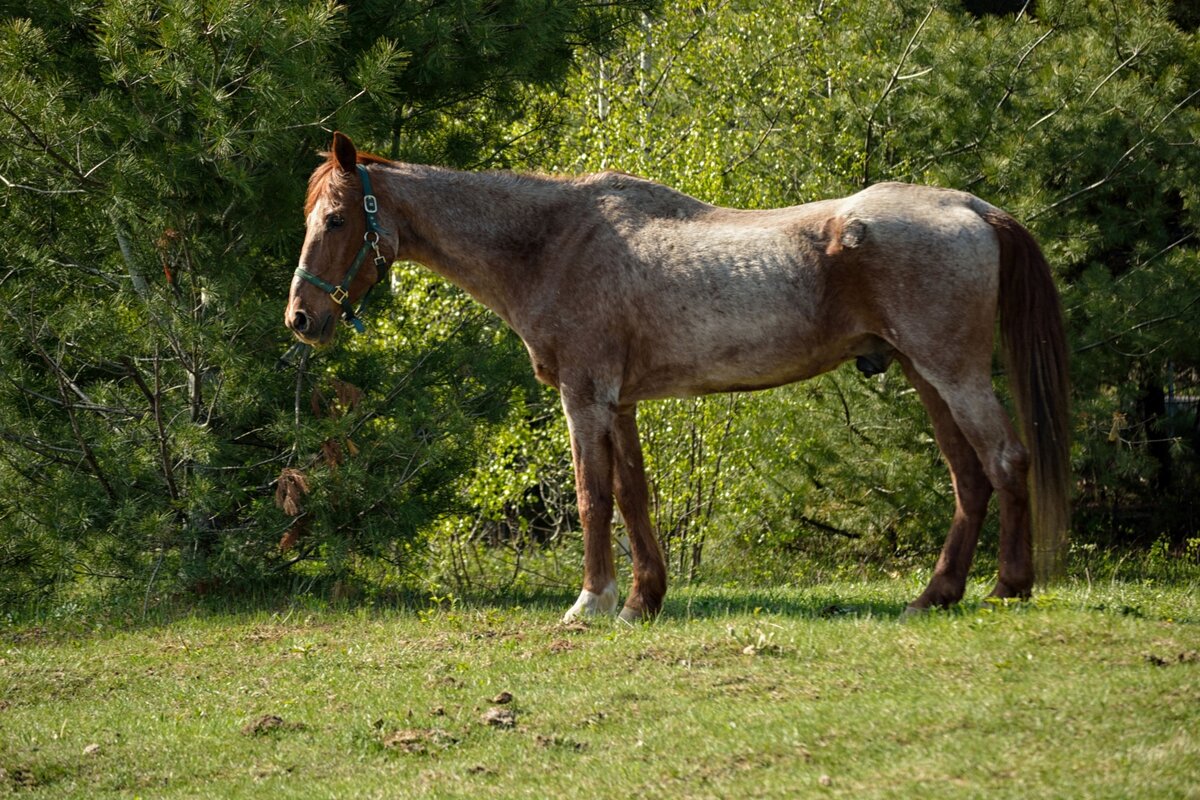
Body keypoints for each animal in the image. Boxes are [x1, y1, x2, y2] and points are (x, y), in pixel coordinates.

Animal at [283, 131, 1070, 623]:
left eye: (336, 217)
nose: (300, 317)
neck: (553, 243)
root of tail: (971, 207)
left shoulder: (585, 397)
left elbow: (593, 496)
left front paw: (590, 602)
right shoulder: (621, 402)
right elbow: (635, 498)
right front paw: (642, 600)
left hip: (952, 372)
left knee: (1006, 460)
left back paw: (1008, 587)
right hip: (926, 375)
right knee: (969, 479)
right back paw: (935, 596)